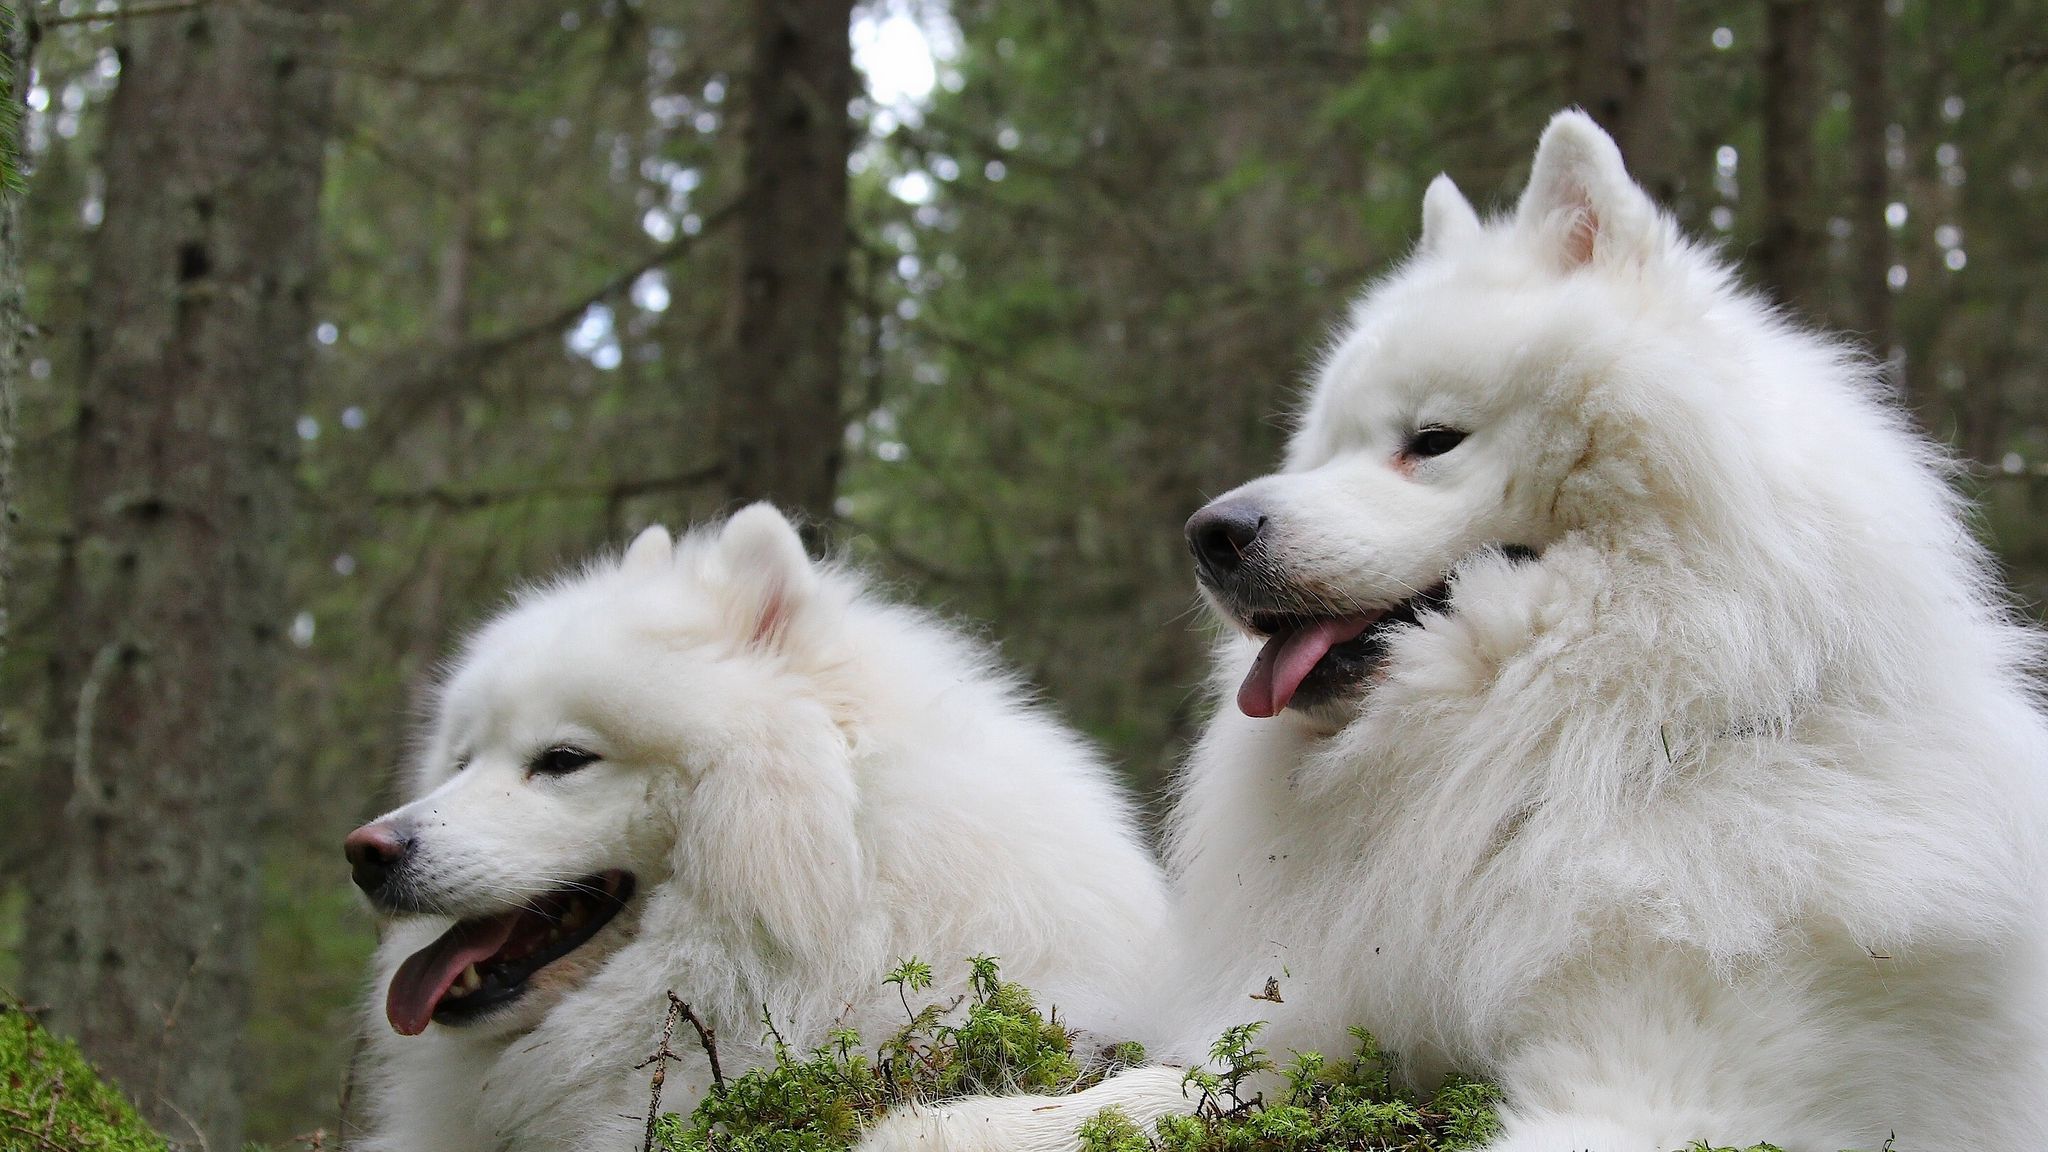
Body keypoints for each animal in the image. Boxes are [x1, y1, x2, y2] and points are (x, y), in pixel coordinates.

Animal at [860, 109, 2048, 1147]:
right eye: (1323, 446)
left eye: (1430, 439)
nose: (1209, 534)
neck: (1592, 752)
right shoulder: (1330, 1020)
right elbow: (1156, 1092)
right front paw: (961, 1123)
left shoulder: (1677, 1089)